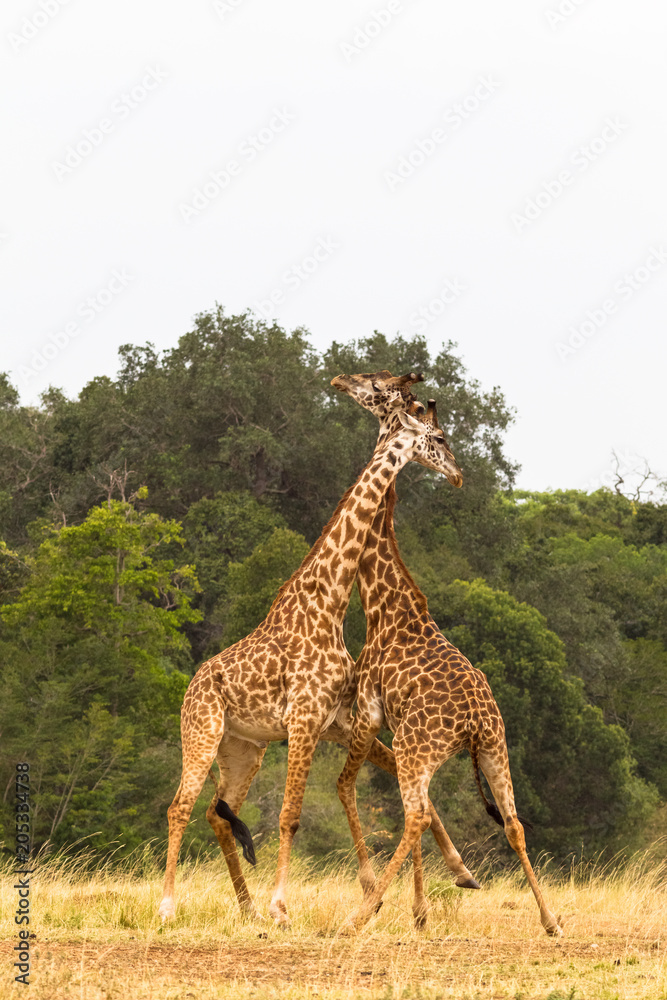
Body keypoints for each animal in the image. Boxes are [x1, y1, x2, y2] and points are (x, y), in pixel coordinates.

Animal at [158, 400, 464, 928]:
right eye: (439, 438)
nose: (459, 474)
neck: (329, 603)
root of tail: (191, 686)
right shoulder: (303, 720)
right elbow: (290, 816)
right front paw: (283, 908)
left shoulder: (335, 721)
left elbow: (408, 790)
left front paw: (456, 874)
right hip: (202, 732)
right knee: (180, 808)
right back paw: (169, 907)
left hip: (244, 749)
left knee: (216, 813)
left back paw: (248, 909)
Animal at [331, 369, 563, 937]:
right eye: (439, 437)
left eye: (373, 385)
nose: (340, 379)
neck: (382, 600)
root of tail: (474, 721)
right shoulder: (394, 729)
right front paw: (427, 905)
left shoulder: (370, 713)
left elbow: (351, 789)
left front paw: (403, 903)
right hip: (494, 748)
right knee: (514, 823)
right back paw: (550, 920)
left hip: (423, 747)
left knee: (411, 814)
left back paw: (358, 915)